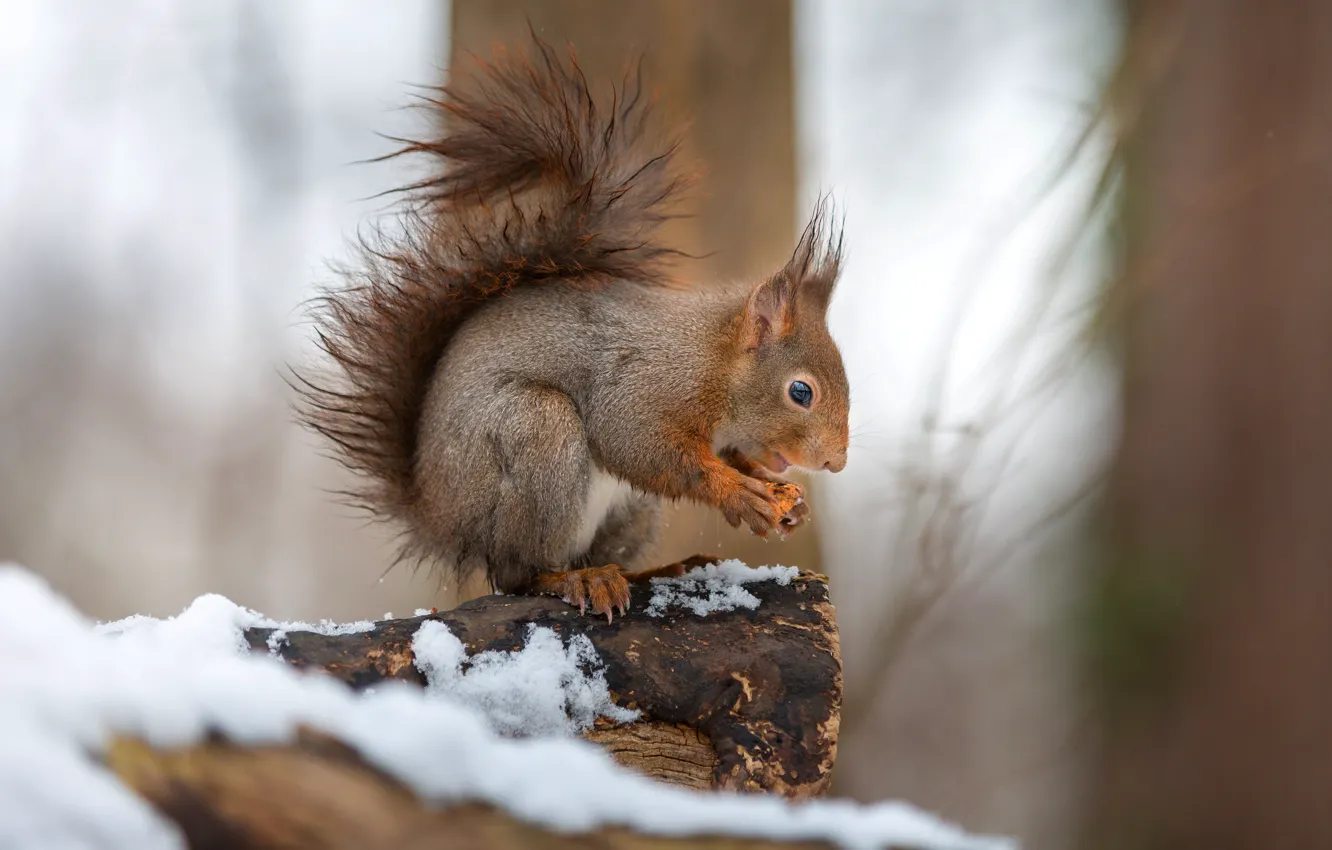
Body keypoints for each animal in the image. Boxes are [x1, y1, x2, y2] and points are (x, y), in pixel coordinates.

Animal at [295, 35, 850, 622]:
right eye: (801, 392)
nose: (835, 463)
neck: (713, 359)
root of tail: (439, 516)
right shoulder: (645, 385)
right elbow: (641, 446)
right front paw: (738, 493)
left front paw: (781, 494)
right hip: (537, 435)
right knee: (517, 574)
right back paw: (575, 579)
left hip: (632, 511)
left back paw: (657, 568)